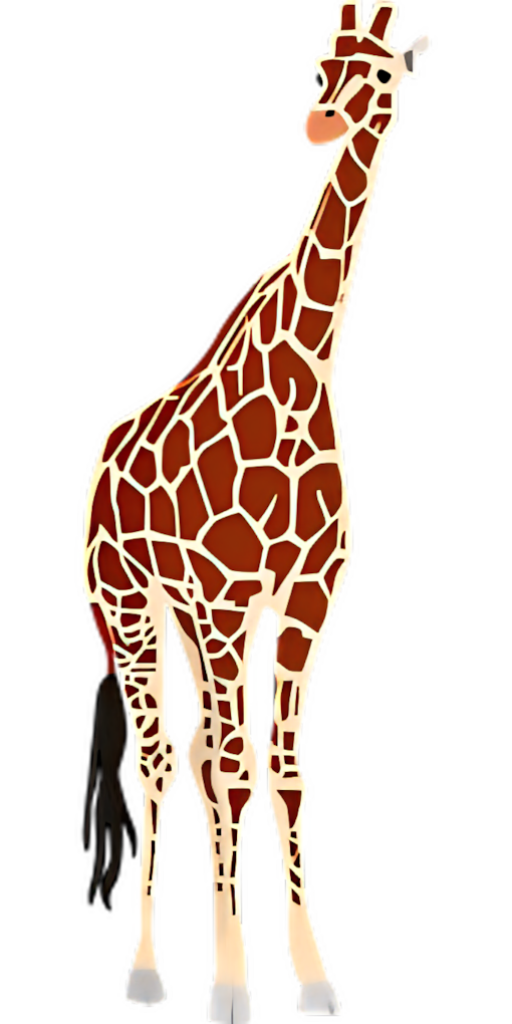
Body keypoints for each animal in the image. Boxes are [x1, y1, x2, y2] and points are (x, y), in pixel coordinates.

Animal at [75, 2, 434, 1020]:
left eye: (382, 76)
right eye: (319, 64)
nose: (320, 124)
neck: (310, 366)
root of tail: (101, 452)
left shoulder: (307, 602)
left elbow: (287, 770)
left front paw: (312, 980)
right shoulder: (233, 600)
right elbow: (235, 770)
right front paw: (232, 988)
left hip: (192, 623)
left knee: (194, 754)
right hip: (134, 609)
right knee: (162, 762)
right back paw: (149, 974)